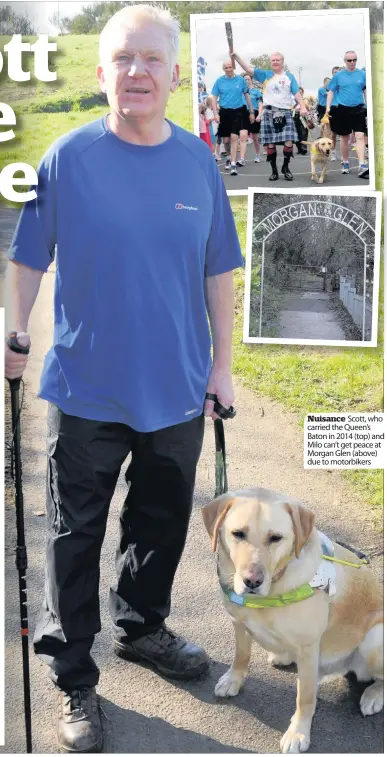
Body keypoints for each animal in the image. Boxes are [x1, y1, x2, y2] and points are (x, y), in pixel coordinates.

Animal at [203, 488, 384, 752]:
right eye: (238, 534)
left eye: (276, 538)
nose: (252, 581)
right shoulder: (239, 623)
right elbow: (241, 656)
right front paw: (233, 680)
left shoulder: (308, 648)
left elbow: (305, 698)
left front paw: (298, 733)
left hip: (373, 640)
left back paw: (373, 695)